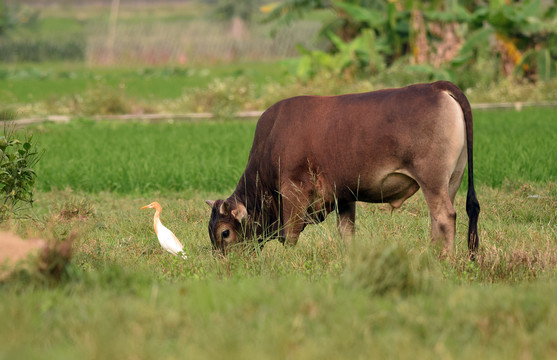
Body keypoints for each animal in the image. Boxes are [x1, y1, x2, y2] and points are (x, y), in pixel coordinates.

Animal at [204, 82, 478, 256]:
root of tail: (436, 86)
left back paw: (443, 260)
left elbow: (290, 235)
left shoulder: (293, 192)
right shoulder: (344, 195)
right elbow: (347, 233)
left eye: (225, 233)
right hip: (451, 180)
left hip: (432, 180)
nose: (226, 265)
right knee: (437, 218)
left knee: (444, 217)